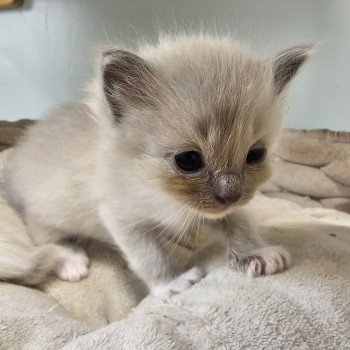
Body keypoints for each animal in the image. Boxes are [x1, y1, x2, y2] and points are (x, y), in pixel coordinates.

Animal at [1, 34, 310, 298]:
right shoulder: (122, 218)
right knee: (46, 238)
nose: (230, 195)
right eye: (188, 160)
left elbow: (240, 223)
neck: (163, 194)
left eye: (255, 154)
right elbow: (149, 257)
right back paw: (72, 261)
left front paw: (256, 253)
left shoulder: (217, 210)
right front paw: (171, 283)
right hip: (46, 212)